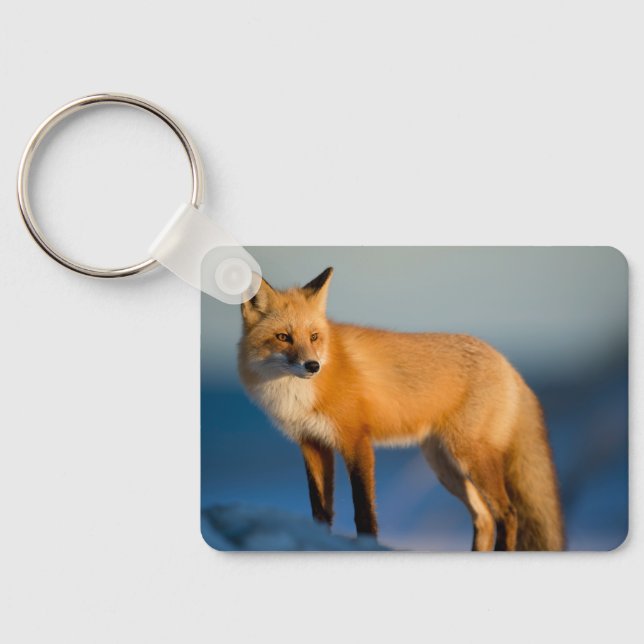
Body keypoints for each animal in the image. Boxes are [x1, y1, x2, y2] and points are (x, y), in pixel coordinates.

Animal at [238, 267, 565, 551]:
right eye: (283, 337)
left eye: (314, 337)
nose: (313, 366)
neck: (297, 395)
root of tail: (507, 364)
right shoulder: (312, 444)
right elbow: (320, 511)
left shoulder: (356, 440)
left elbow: (364, 511)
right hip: (445, 466)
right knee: (484, 517)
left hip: (470, 457)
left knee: (507, 514)